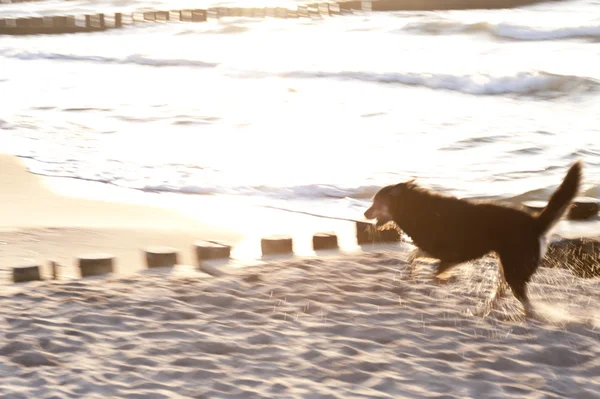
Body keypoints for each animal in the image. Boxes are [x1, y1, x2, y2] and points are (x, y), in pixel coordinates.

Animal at [364, 162, 584, 316]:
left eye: (376, 202)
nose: (365, 213)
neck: (414, 209)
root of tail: (535, 222)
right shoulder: (438, 251)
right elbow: (414, 256)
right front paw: (411, 274)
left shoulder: (453, 254)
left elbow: (434, 269)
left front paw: (442, 279)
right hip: (507, 267)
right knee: (502, 292)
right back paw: (483, 311)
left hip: (513, 268)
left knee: (522, 299)